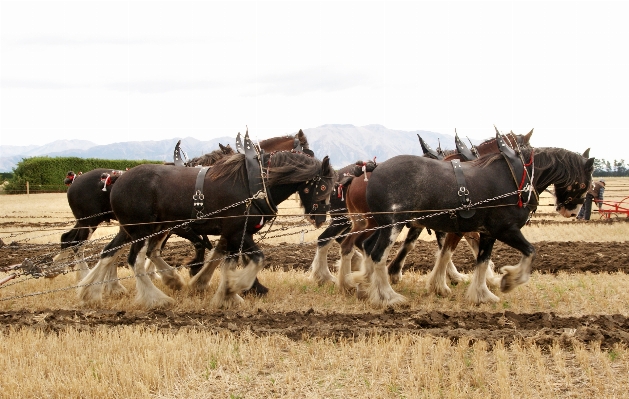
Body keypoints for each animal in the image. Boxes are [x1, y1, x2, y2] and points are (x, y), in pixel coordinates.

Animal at [78, 148, 336, 308]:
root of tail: (117, 180)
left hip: (134, 228)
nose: (320, 218)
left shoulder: (233, 233)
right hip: (142, 229)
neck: (254, 184)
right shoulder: (237, 230)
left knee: (110, 252)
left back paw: (90, 291)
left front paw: (224, 294)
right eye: (324, 186)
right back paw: (155, 298)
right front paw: (237, 287)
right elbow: (256, 258)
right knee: (134, 260)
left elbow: (226, 260)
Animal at [350, 137, 592, 306]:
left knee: (366, 246)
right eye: (586, 183)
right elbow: (530, 252)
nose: (573, 211)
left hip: (382, 224)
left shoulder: (486, 232)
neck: (517, 177)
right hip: (392, 225)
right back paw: (387, 296)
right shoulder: (505, 229)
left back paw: (365, 286)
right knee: (377, 254)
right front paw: (509, 280)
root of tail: (375, 169)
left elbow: (481, 261)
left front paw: (482, 294)